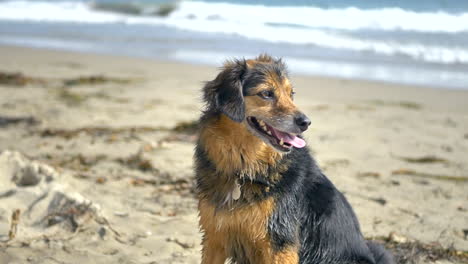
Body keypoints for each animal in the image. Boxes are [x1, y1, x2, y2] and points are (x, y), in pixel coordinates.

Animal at [195, 54, 394, 262]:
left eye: (291, 94)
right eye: (266, 93)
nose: (306, 122)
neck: (244, 168)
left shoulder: (281, 241)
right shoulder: (214, 237)